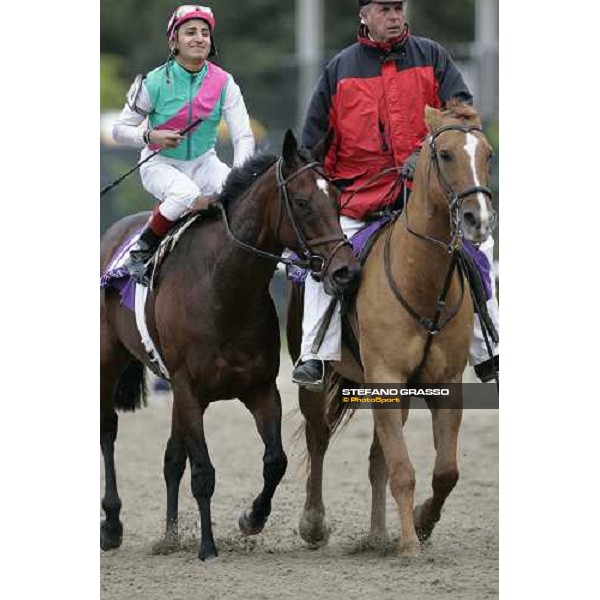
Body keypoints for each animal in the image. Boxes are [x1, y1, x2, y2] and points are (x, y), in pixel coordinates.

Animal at [101, 129, 360, 560]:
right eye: (303, 202)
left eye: (338, 199)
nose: (346, 270)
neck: (222, 287)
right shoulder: (190, 389)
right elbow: (204, 471)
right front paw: (207, 547)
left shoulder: (259, 388)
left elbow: (275, 461)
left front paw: (251, 519)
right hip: (109, 362)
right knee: (108, 431)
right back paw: (112, 524)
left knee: (172, 456)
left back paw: (170, 535)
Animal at [288, 102, 494, 556]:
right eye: (446, 155)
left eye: (488, 154)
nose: (479, 219)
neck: (420, 280)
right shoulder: (386, 377)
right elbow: (402, 468)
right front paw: (411, 547)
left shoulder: (444, 382)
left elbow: (445, 471)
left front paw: (419, 524)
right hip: (319, 383)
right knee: (319, 438)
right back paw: (313, 522)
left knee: (376, 459)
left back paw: (380, 535)